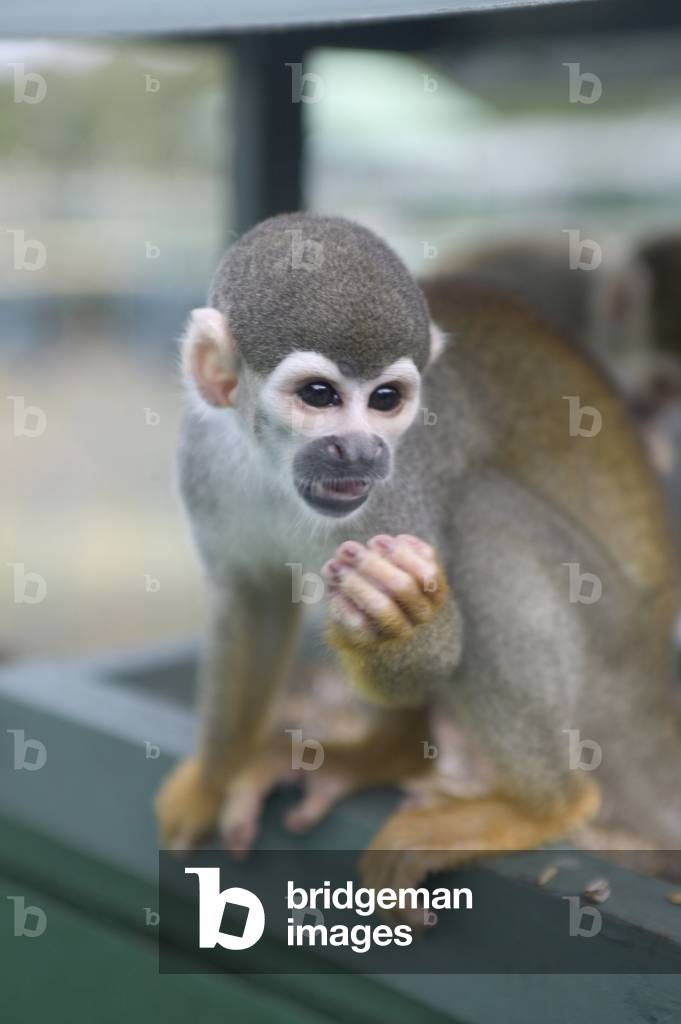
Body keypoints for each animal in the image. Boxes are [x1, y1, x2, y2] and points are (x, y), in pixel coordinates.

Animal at [156, 212, 681, 895]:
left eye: (386, 399)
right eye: (319, 395)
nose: (362, 451)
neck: (272, 467)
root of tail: (655, 672)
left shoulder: (404, 484)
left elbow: (441, 647)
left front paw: (403, 618)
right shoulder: (204, 453)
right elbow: (250, 599)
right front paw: (210, 779)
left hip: (610, 655)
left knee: (481, 515)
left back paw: (541, 807)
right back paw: (387, 754)